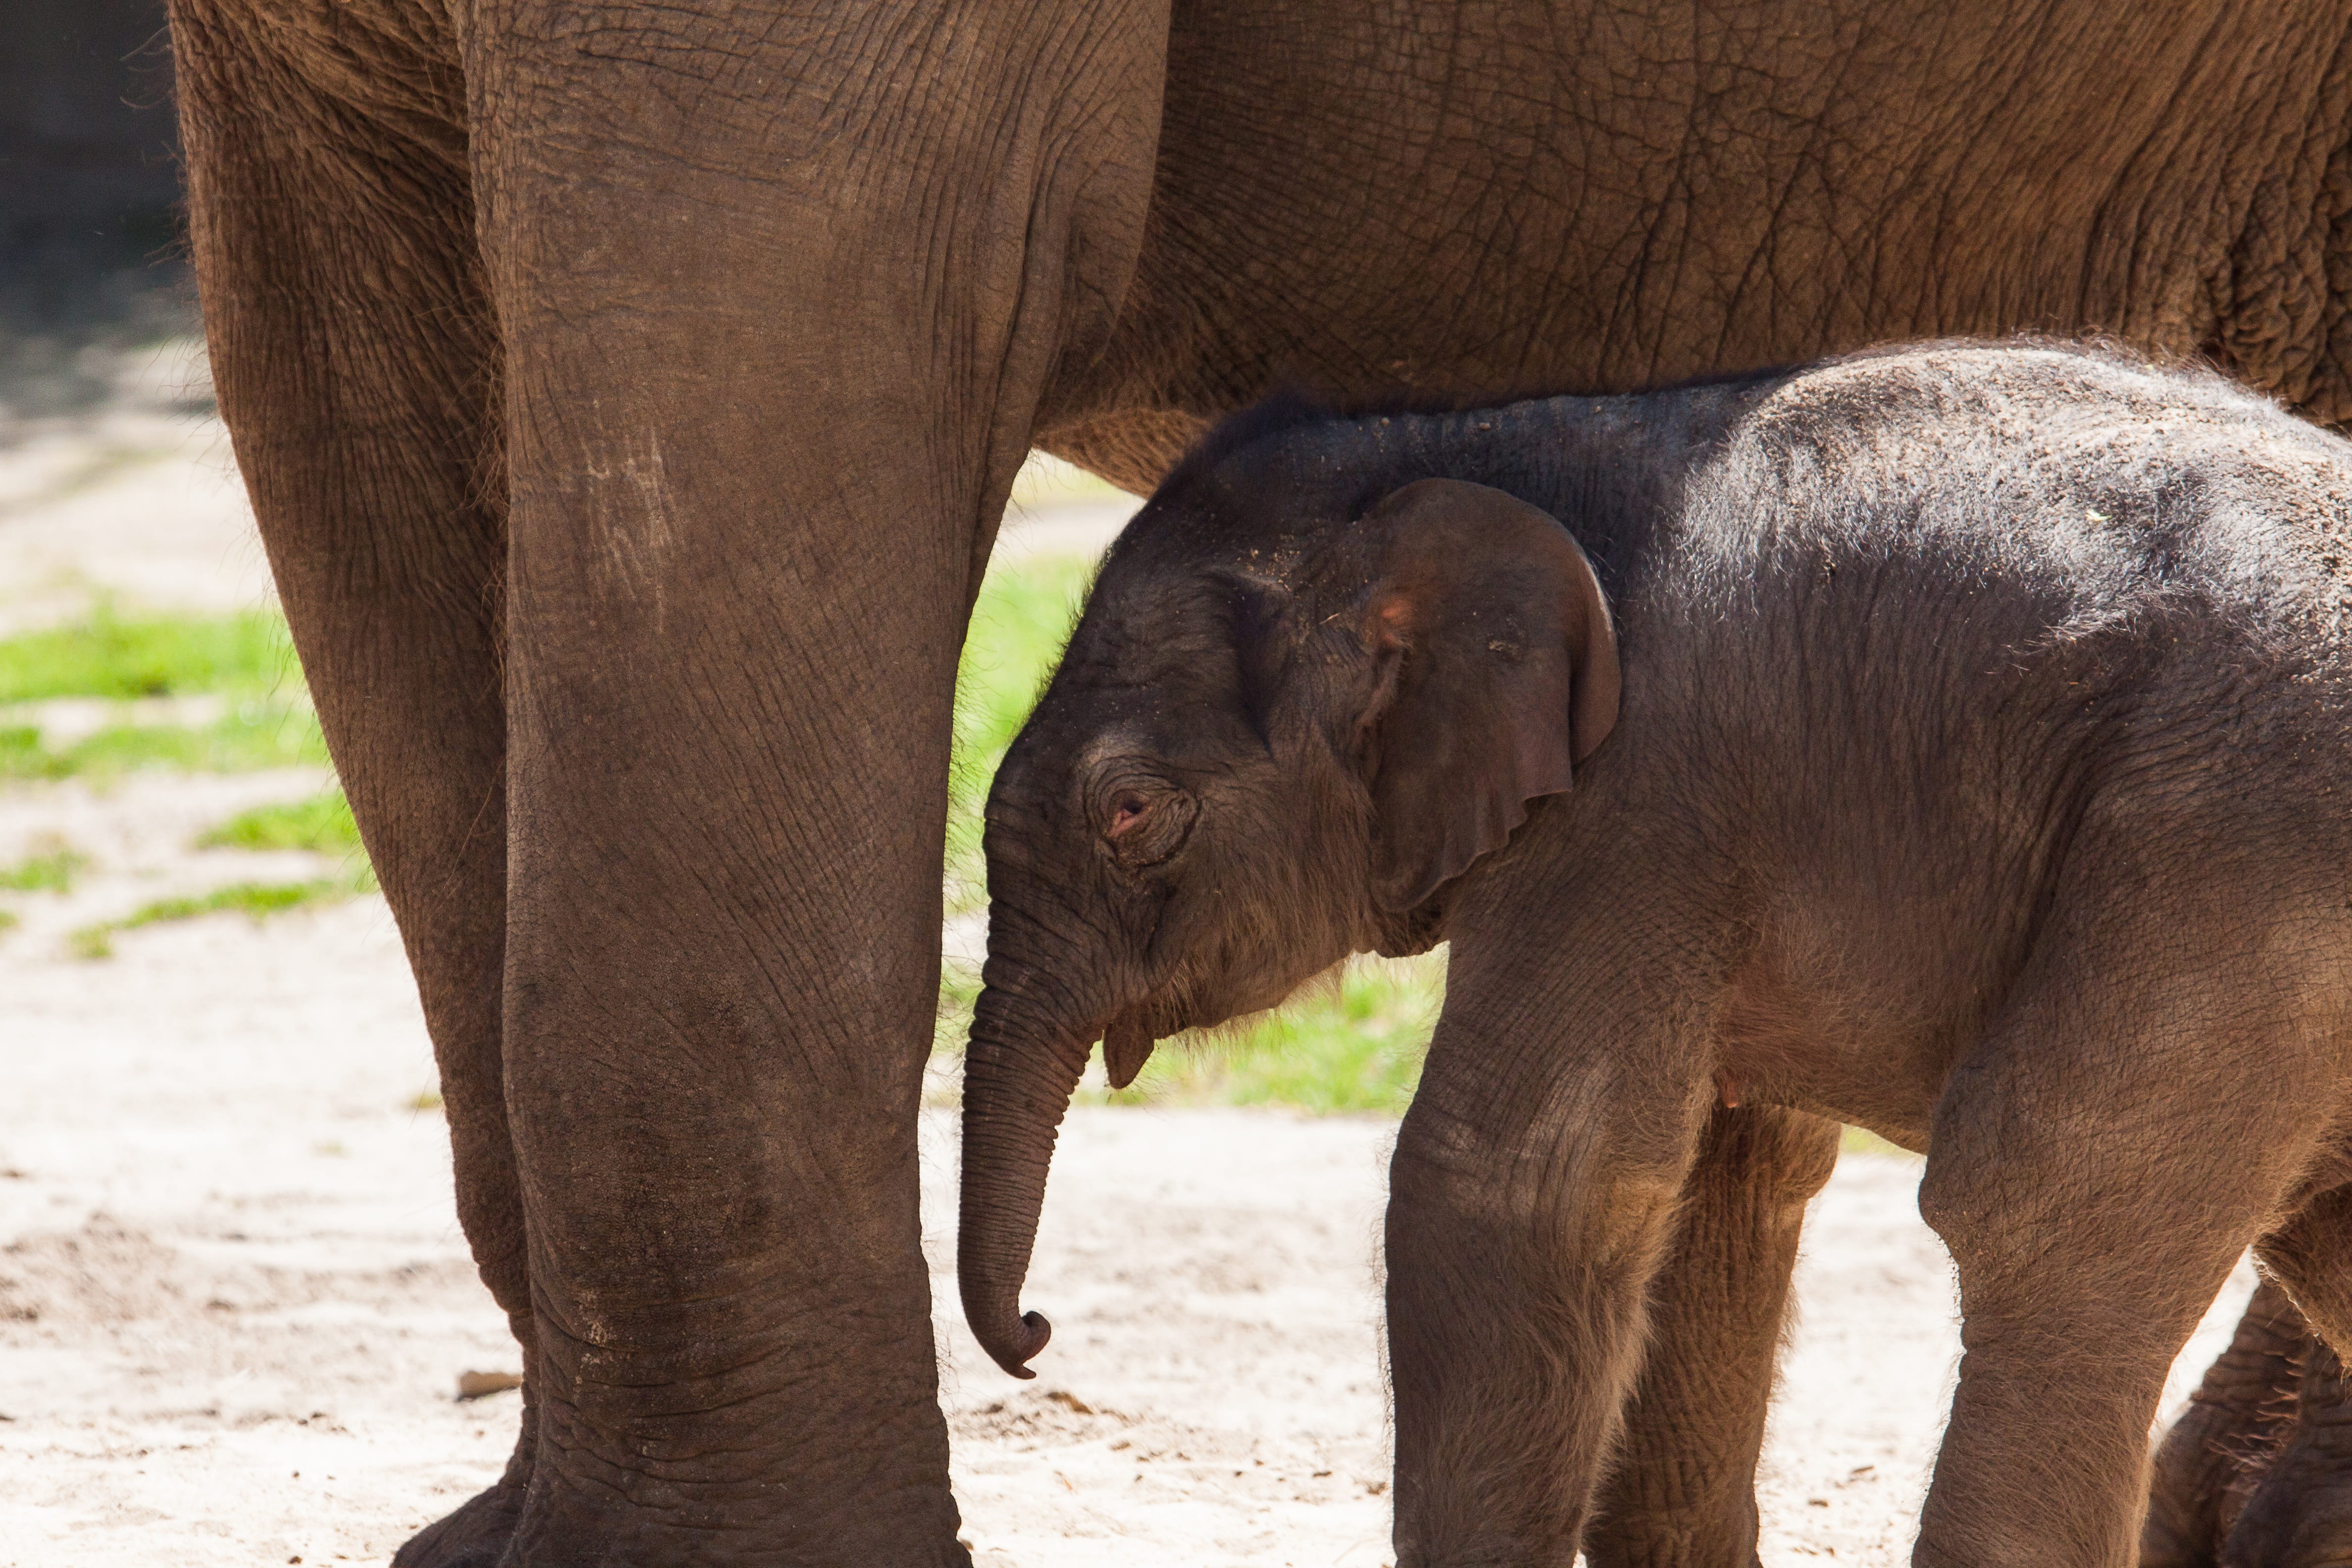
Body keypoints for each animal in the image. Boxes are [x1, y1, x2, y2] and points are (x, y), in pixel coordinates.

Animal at [957, 341, 2352, 1567]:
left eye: (1131, 811)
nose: (1033, 1330)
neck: (1461, 447)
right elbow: (1700, 1172)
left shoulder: (1638, 803)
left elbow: (1521, 1185)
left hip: (2214, 850)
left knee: (2045, 1214)